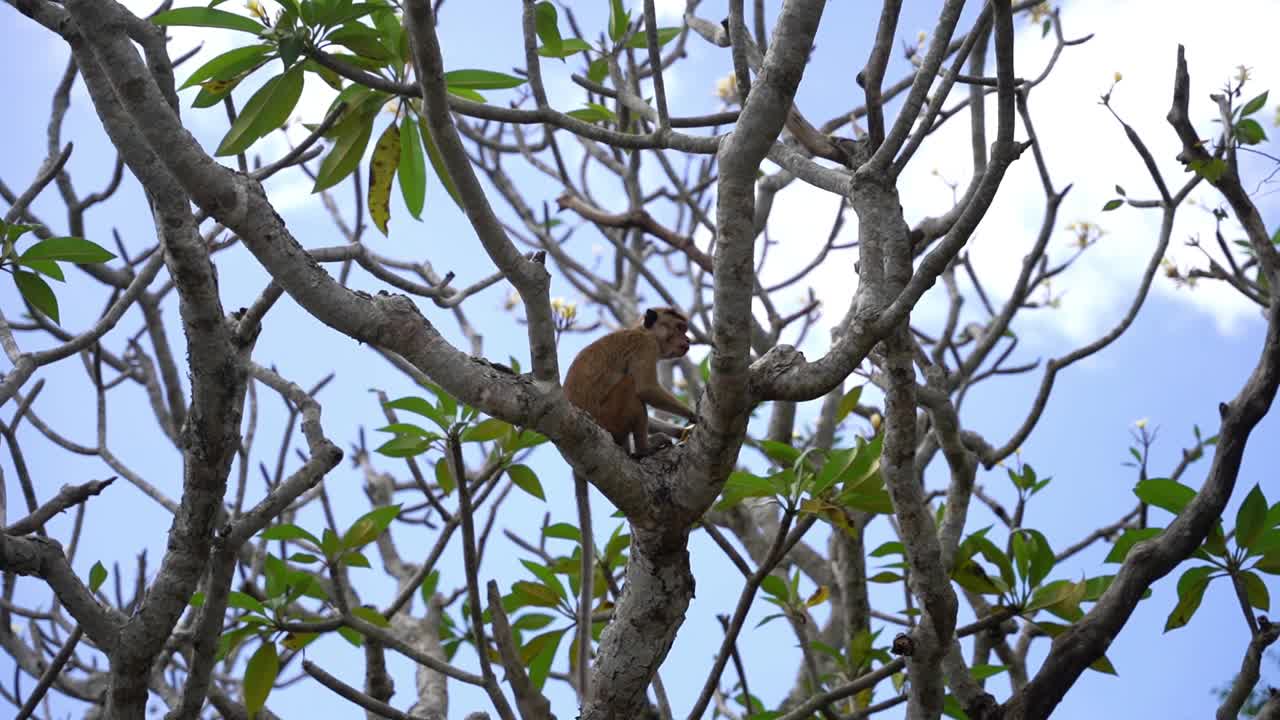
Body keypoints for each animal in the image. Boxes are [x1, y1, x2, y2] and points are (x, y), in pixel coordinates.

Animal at [563, 306, 697, 455]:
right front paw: (693, 415)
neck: (645, 332)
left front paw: (682, 431)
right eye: (679, 328)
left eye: (684, 329)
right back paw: (644, 449)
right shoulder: (646, 346)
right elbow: (646, 389)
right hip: (610, 420)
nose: (688, 340)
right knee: (630, 384)